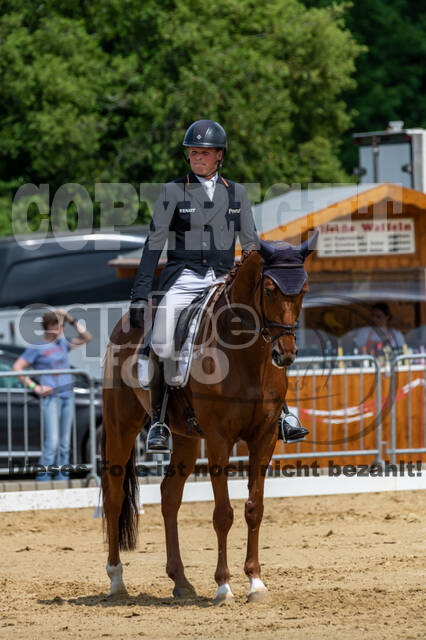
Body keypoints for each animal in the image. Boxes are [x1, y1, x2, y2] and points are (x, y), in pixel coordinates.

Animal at [101, 232, 317, 604]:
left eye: (303, 289)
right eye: (270, 289)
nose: (285, 354)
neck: (247, 356)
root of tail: (123, 326)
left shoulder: (264, 439)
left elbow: (254, 508)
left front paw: (256, 582)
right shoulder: (219, 440)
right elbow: (223, 514)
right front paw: (223, 586)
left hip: (185, 438)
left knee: (169, 496)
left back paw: (181, 581)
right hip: (121, 427)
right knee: (115, 498)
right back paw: (117, 580)